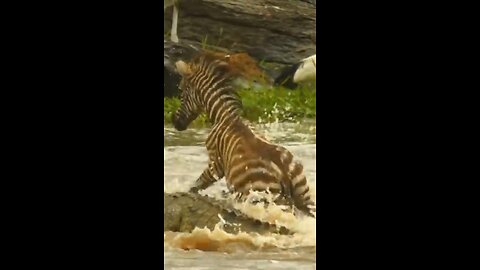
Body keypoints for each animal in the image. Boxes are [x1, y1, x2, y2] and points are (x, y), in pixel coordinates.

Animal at [172, 53, 316, 217]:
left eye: (181, 91)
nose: (175, 122)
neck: (224, 115)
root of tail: (284, 174)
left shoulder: (215, 163)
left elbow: (196, 186)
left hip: (262, 196)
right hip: (303, 192)